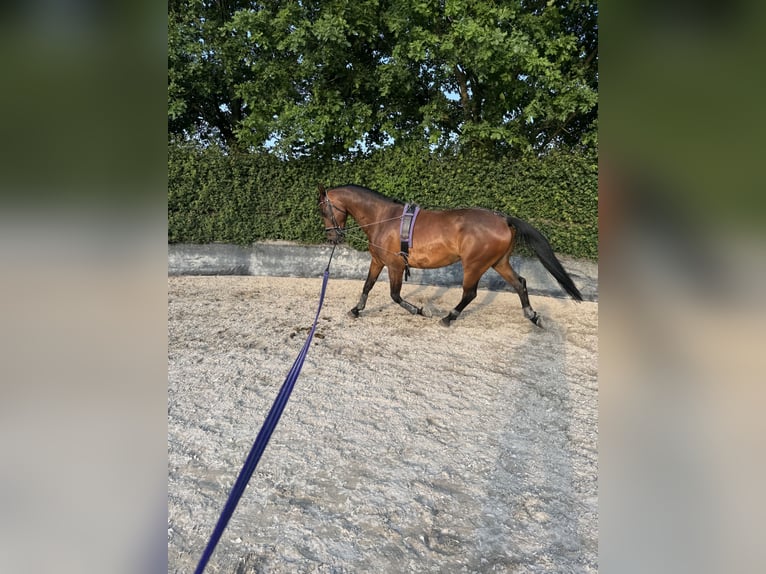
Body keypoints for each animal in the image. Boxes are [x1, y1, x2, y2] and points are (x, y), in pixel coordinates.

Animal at [318, 184, 583, 327]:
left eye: (322, 209)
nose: (332, 238)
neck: (385, 219)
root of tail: (503, 219)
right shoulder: (378, 261)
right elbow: (368, 285)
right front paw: (356, 309)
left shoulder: (394, 265)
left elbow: (394, 295)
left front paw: (420, 310)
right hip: (498, 262)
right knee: (520, 283)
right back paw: (532, 316)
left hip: (474, 265)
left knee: (470, 293)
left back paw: (449, 317)